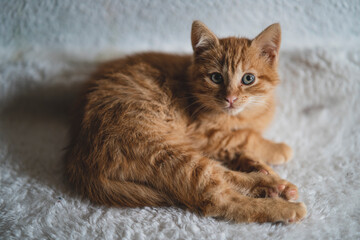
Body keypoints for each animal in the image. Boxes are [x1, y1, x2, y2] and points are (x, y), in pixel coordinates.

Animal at [64, 20, 306, 223]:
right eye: (216, 77)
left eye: (248, 79)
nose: (230, 98)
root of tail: (79, 158)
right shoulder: (203, 134)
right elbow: (245, 137)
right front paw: (276, 149)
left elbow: (241, 149)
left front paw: (259, 164)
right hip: (169, 151)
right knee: (220, 196)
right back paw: (280, 199)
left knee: (222, 177)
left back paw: (273, 183)